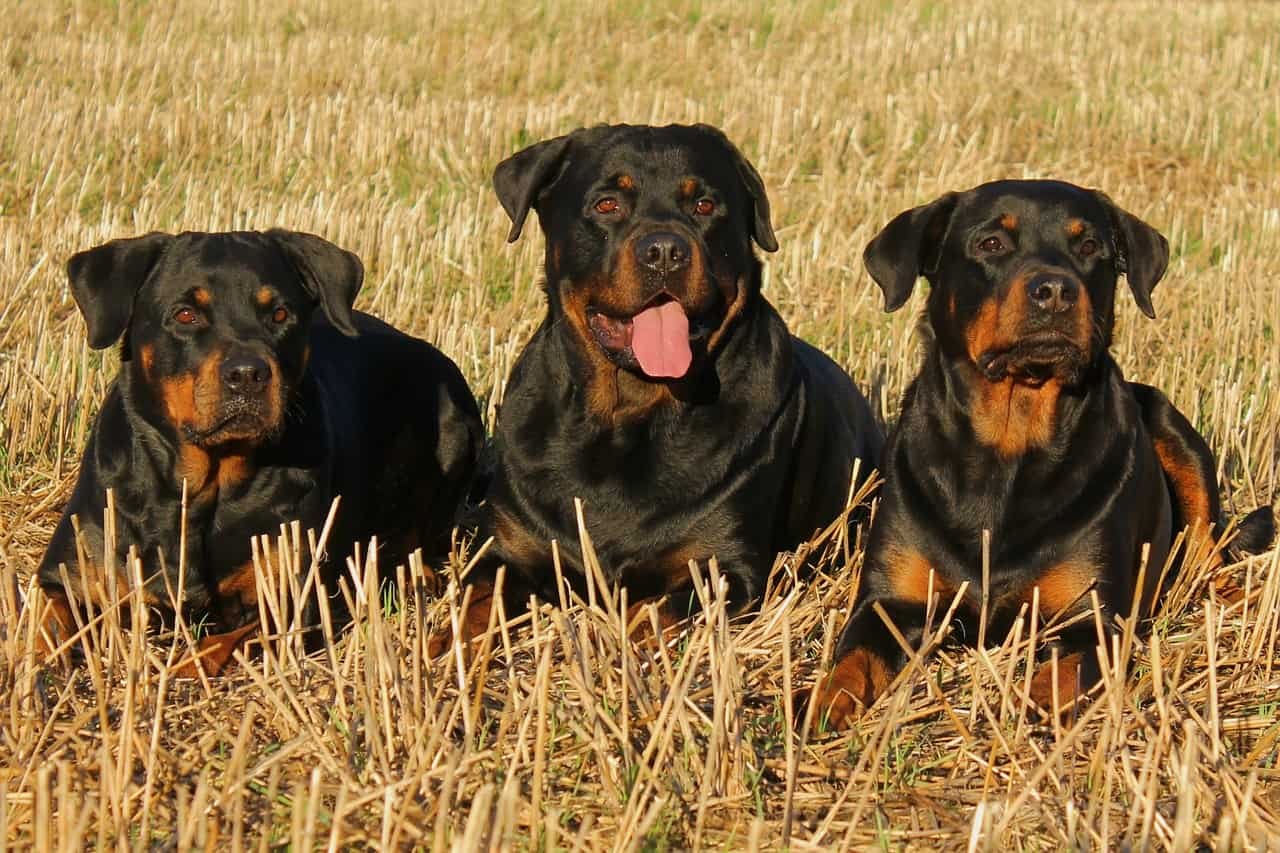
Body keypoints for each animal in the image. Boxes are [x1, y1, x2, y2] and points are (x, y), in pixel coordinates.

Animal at [430, 121, 880, 650]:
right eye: (607, 204)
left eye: (704, 206)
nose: (665, 250)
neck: (627, 415)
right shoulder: (509, 548)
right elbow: (474, 603)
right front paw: (443, 647)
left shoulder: (725, 568)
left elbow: (651, 611)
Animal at [803, 179, 1274, 722]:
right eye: (991, 243)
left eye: (1089, 245)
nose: (1055, 290)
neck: (1009, 441)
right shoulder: (887, 601)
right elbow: (850, 663)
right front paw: (817, 706)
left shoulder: (1090, 616)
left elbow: (1060, 679)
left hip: (1176, 434)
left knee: (1207, 553)